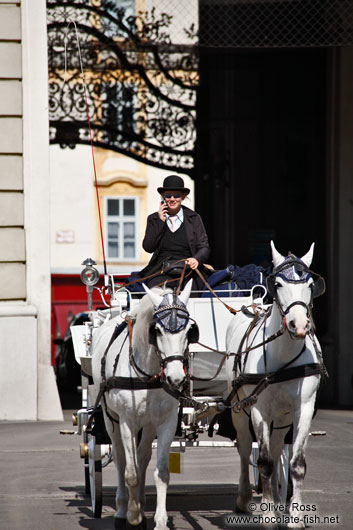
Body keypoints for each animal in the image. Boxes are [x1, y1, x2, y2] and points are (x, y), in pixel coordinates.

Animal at [91, 278, 197, 524]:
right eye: (156, 330)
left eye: (189, 330)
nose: (176, 378)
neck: (147, 374)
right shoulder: (127, 421)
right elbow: (130, 472)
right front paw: (132, 515)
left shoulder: (167, 421)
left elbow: (161, 472)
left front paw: (160, 520)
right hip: (110, 419)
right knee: (121, 458)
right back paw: (123, 509)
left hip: (148, 424)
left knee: (142, 456)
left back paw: (139, 502)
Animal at [226, 241, 324, 524]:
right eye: (278, 284)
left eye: (310, 284)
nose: (299, 324)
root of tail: (253, 307)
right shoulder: (258, 409)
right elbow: (265, 462)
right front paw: (268, 511)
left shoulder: (303, 407)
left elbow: (296, 463)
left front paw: (294, 516)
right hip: (239, 408)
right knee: (245, 448)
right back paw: (245, 498)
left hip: (282, 416)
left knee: (279, 445)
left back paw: (279, 499)